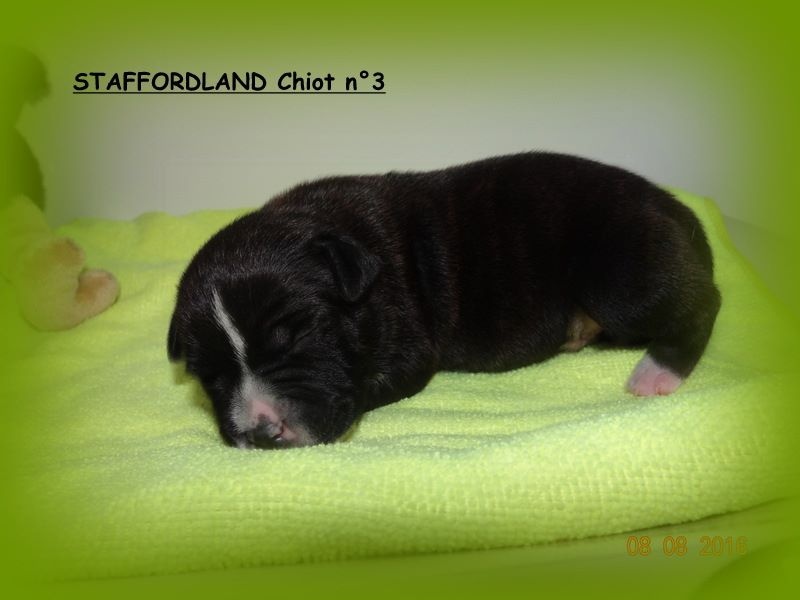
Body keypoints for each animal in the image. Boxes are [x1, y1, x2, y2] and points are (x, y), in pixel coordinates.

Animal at [168, 153, 721, 449]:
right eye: (208, 376)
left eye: (301, 336)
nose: (261, 432)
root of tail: (675, 208)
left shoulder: (407, 349)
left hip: (622, 276)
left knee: (702, 304)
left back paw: (656, 373)